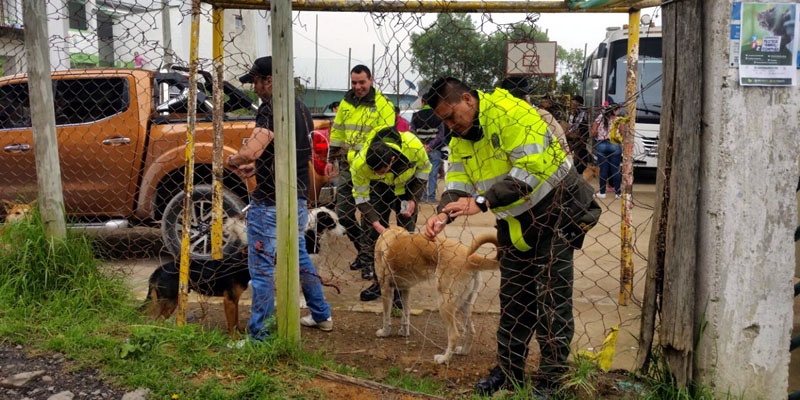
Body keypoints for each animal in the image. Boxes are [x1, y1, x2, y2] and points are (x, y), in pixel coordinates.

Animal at [372, 227, 496, 364]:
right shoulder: (406, 289)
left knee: (454, 335)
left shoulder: (385, 289)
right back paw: (463, 351)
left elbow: (386, 316)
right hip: (464, 304)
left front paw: (384, 332)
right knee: (471, 331)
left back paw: (444, 358)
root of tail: (470, 258)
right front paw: (404, 332)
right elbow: (406, 314)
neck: (390, 234)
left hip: (444, 304)